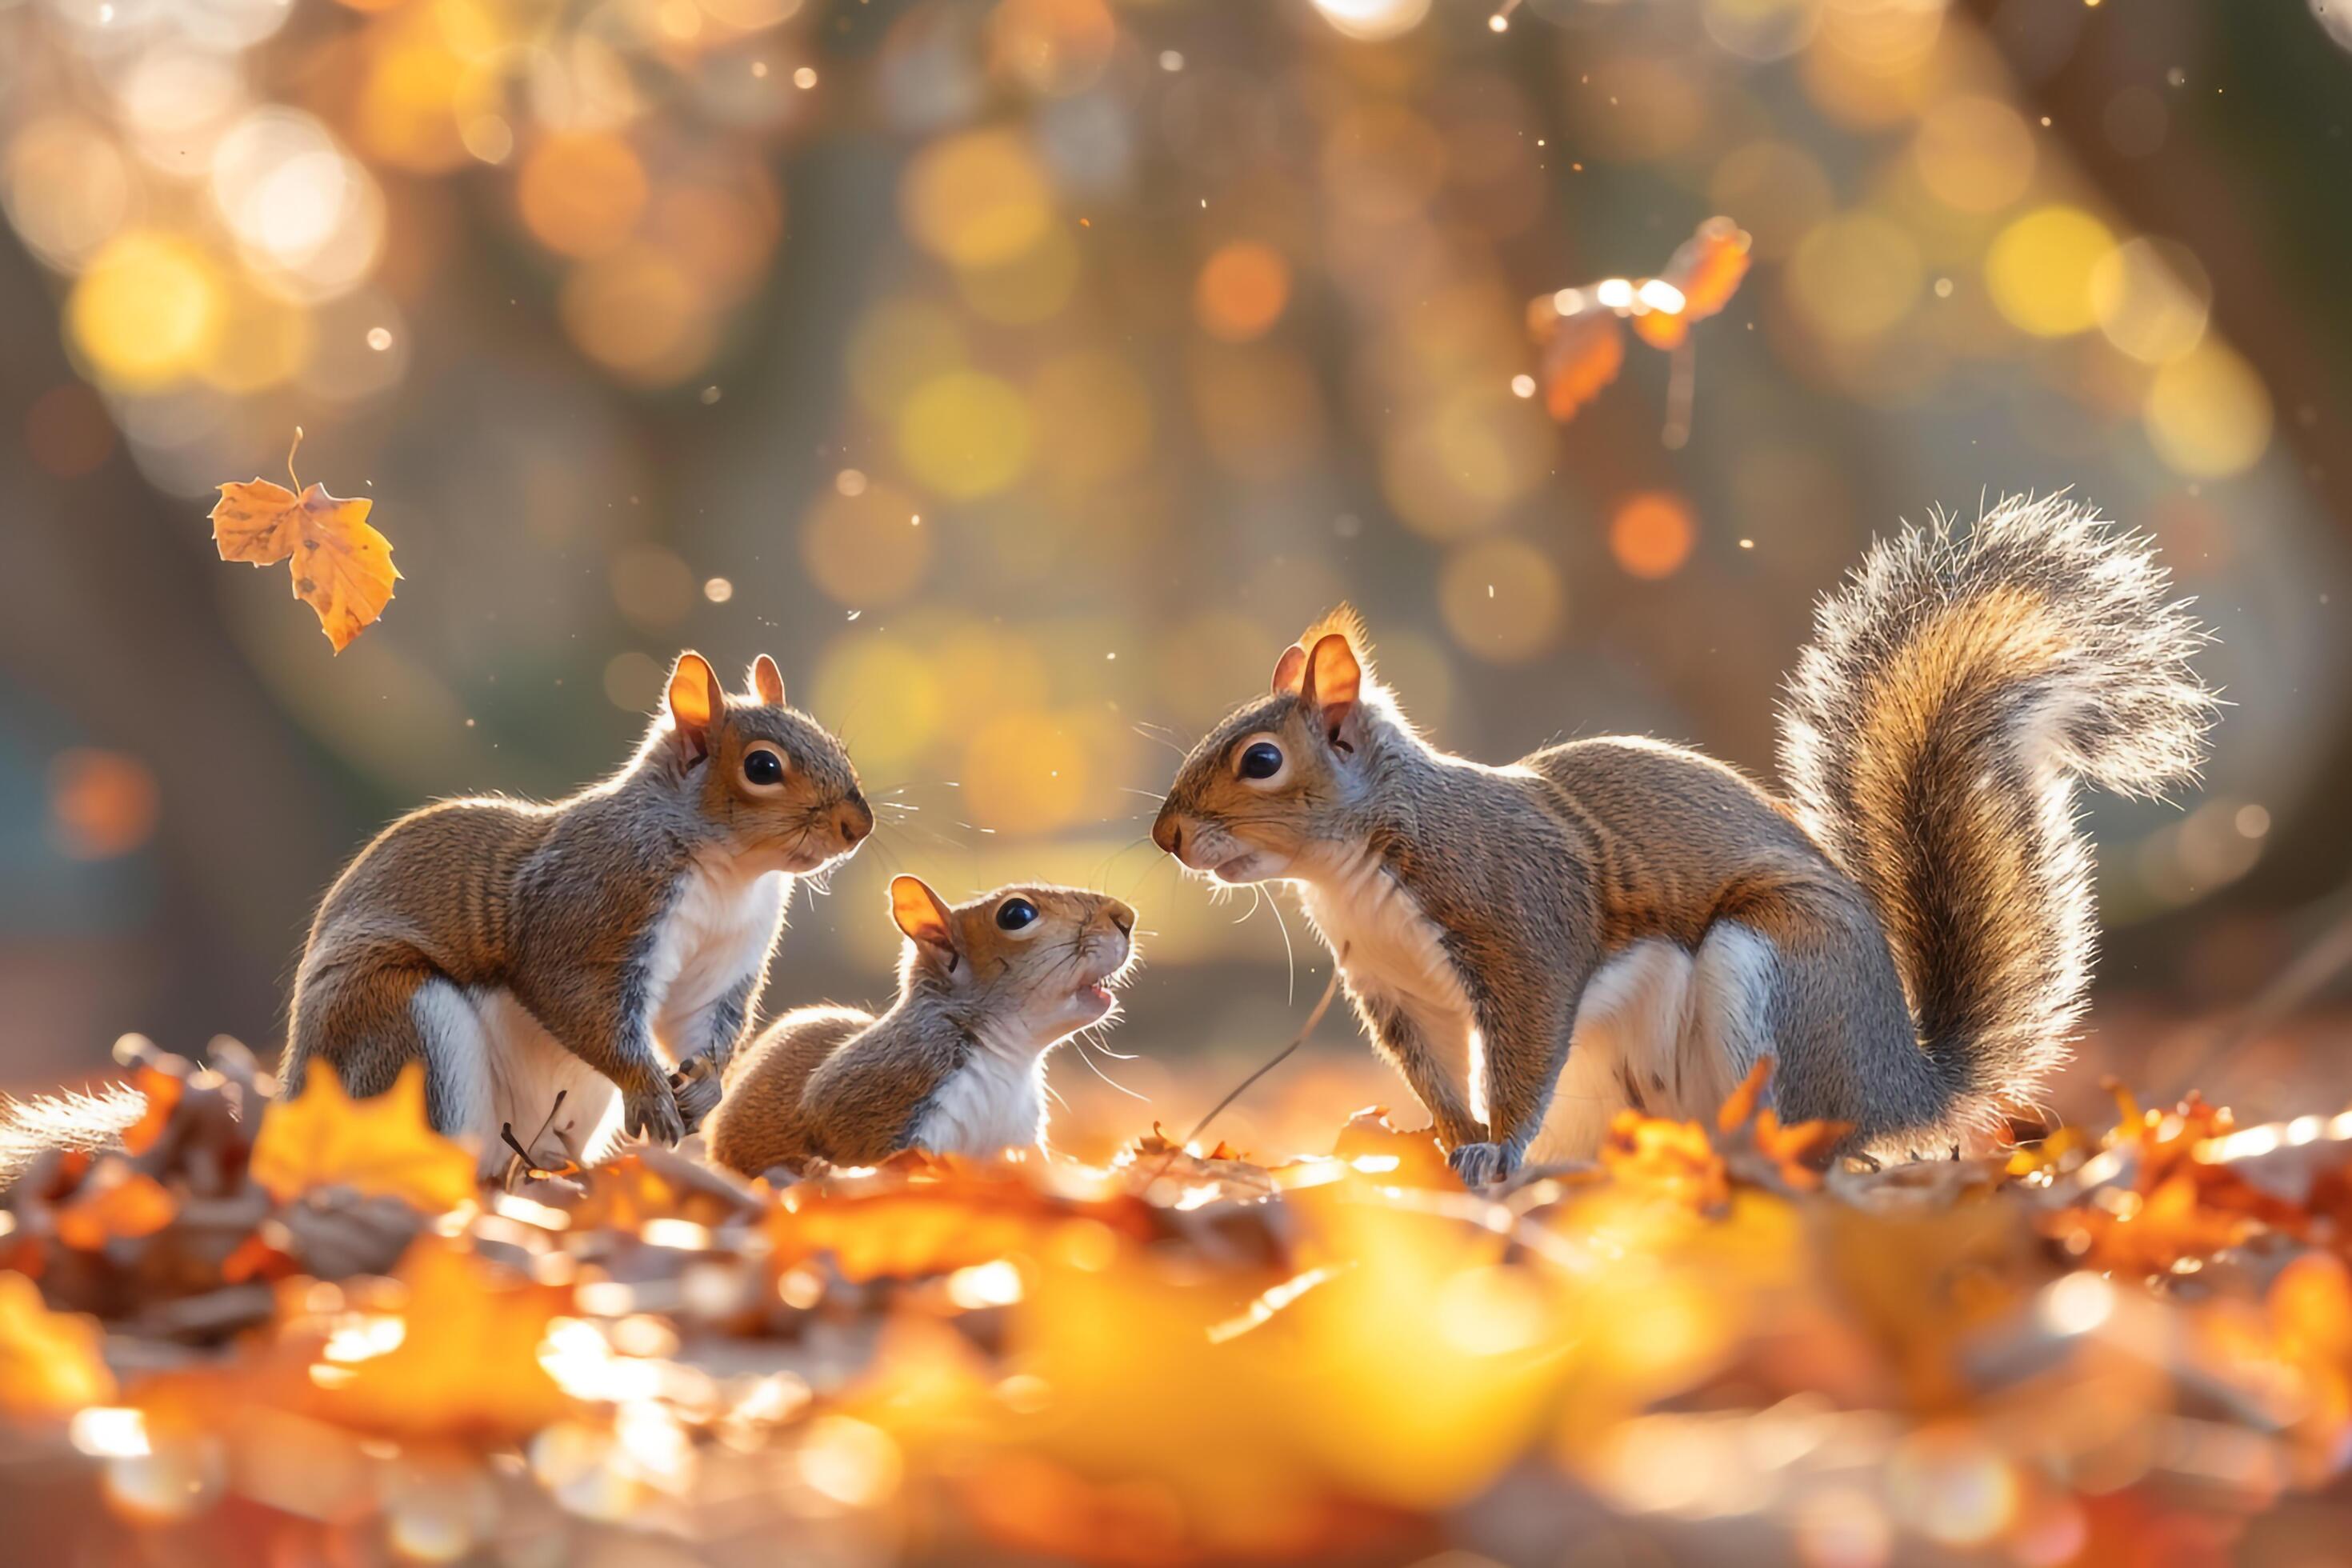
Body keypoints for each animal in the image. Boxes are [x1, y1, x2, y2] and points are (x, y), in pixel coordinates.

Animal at [4, 644, 870, 1185]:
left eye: (836, 746)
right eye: (763, 766)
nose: (858, 826)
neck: (728, 874)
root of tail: (297, 1102)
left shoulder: (724, 960)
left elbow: (698, 1028)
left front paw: (703, 1092)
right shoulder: (589, 909)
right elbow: (581, 1003)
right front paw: (653, 1094)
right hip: (404, 1029)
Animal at [1157, 496, 2220, 1185]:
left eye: (1260, 759)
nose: (1166, 836)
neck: (1359, 860)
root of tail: (1894, 1084)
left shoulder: (1521, 931)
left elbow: (1521, 1058)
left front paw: (1494, 1147)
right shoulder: (1395, 992)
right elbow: (1436, 1076)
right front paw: (1446, 1141)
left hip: (1768, 979)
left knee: (1808, 1143)